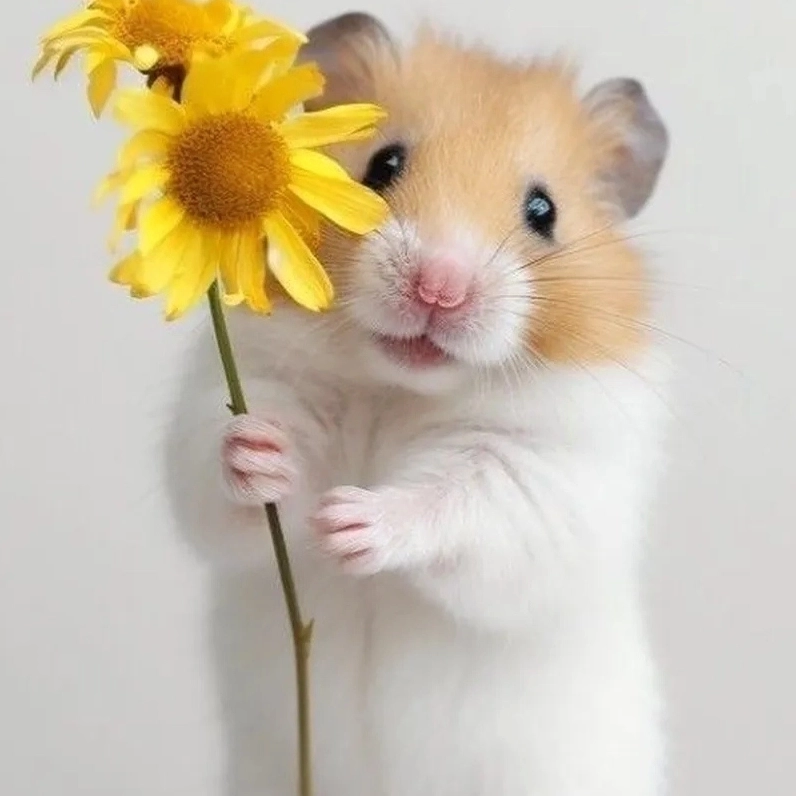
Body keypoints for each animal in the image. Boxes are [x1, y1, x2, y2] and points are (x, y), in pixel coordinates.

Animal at [166, 13, 671, 796]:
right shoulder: (247, 389)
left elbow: (456, 501)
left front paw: (348, 521)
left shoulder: (544, 476)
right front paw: (261, 452)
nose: (440, 286)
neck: (398, 387)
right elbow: (219, 479)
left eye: (543, 211)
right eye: (383, 164)